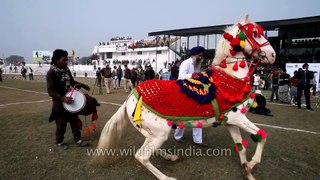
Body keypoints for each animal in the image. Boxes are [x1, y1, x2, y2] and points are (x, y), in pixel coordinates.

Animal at [97, 14, 276, 179]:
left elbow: (241, 147)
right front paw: (251, 165)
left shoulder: (231, 121)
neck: (230, 76)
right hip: (160, 132)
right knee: (142, 156)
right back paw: (166, 177)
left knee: (149, 148)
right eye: (255, 33)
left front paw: (247, 171)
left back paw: (170, 156)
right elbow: (262, 136)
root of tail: (130, 99)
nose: (273, 54)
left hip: (151, 132)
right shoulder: (238, 118)